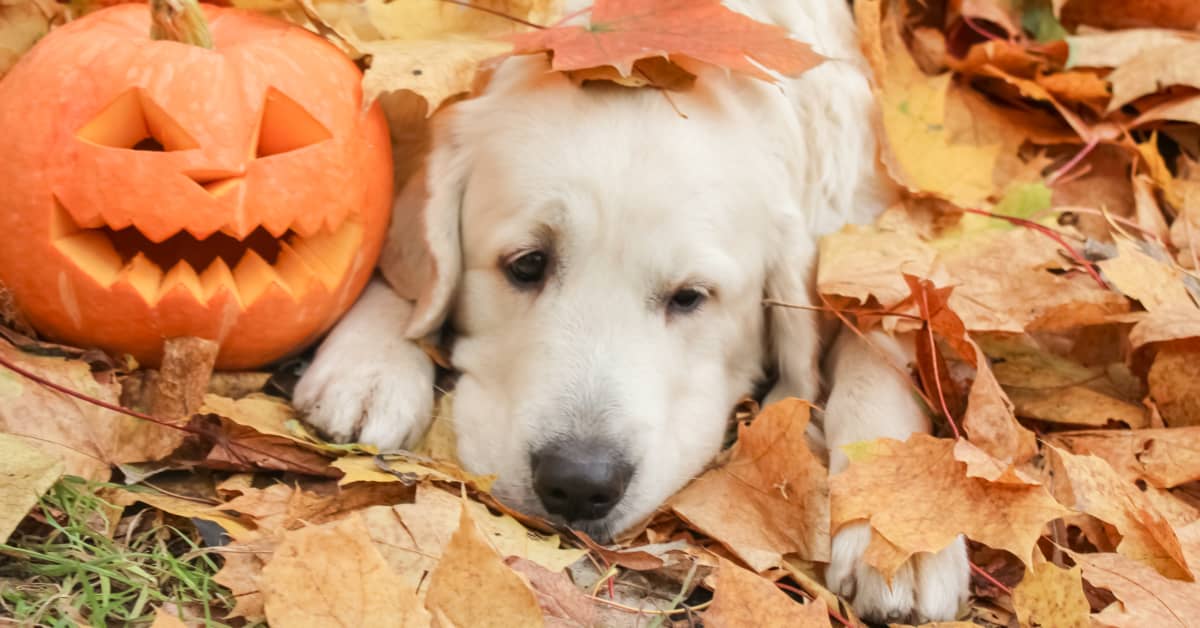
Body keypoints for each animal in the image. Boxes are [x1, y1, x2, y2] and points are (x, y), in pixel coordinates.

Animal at [295, 0, 969, 619]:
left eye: (690, 297)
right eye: (527, 264)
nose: (578, 484)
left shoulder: (869, 225)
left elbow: (877, 334)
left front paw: (900, 525)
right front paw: (371, 361)